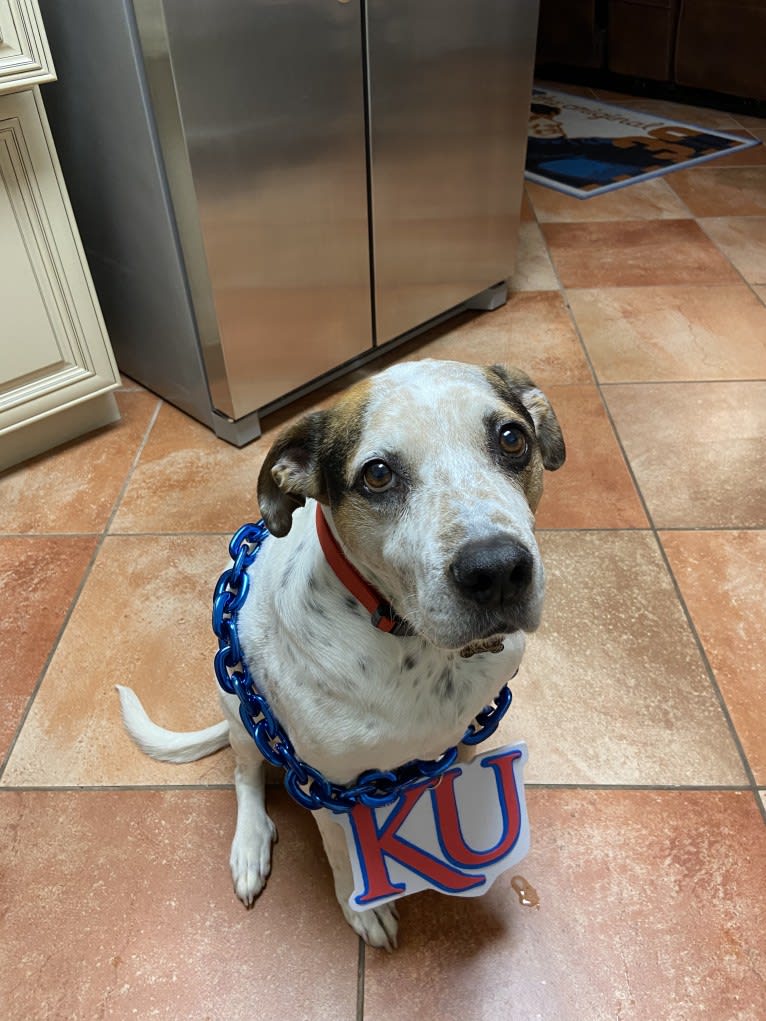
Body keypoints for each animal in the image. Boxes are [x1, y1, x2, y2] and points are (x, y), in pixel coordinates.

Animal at [116, 359, 567, 947]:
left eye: (512, 438)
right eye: (377, 474)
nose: (496, 571)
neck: (414, 644)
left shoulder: (468, 733)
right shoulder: (324, 785)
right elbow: (339, 850)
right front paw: (362, 906)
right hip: (238, 706)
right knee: (245, 774)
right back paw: (250, 843)